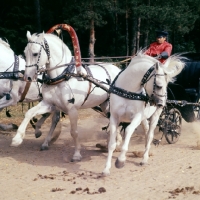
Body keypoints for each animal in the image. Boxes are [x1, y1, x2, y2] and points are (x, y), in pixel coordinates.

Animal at [10, 30, 121, 160]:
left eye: (35, 53)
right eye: (24, 53)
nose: (27, 77)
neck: (62, 77)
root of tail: (118, 70)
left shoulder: (72, 109)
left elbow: (74, 132)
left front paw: (77, 154)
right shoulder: (49, 104)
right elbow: (30, 112)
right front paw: (18, 138)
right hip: (105, 105)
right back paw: (116, 142)